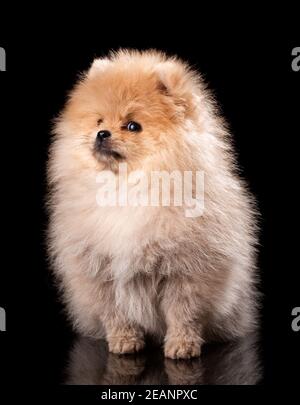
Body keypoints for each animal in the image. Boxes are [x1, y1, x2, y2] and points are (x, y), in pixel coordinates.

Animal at [48, 49, 258, 356]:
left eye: (132, 126)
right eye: (99, 122)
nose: (102, 134)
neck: (125, 188)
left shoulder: (187, 270)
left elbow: (184, 312)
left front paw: (182, 344)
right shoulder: (98, 270)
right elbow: (114, 313)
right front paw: (123, 340)